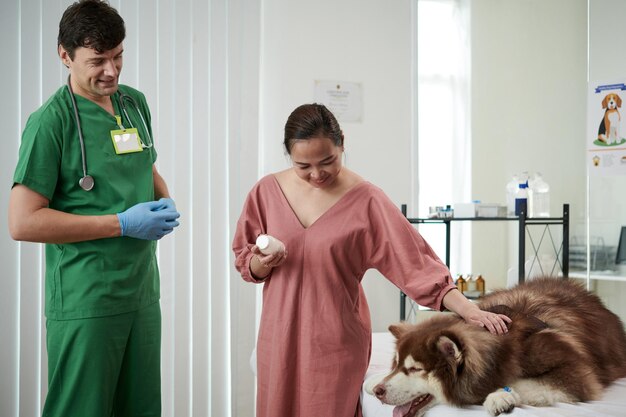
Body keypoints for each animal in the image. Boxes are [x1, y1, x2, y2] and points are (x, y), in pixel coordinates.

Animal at [364, 276, 624, 416]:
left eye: (415, 369)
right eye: (397, 366)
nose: (379, 391)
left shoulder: (576, 372)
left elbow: (523, 382)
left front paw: (500, 396)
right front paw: (372, 379)